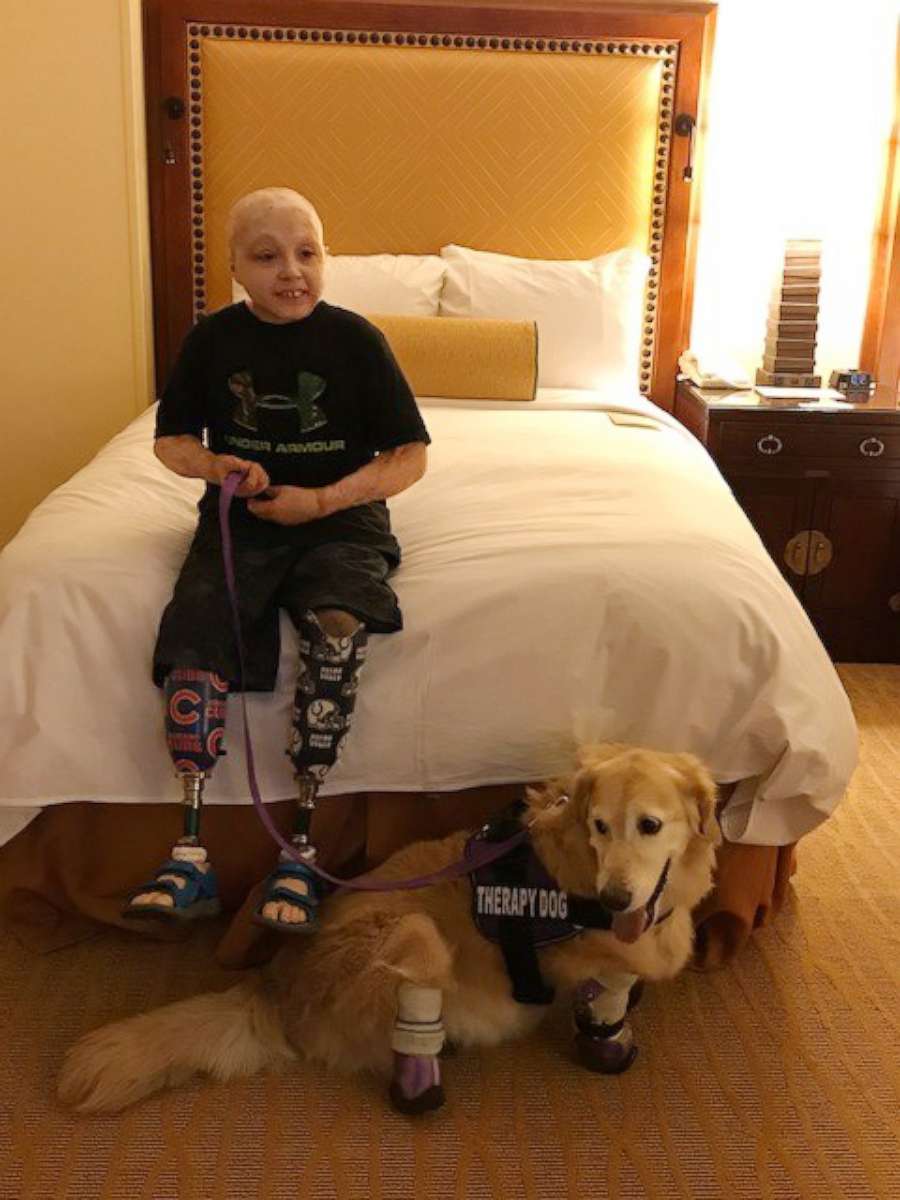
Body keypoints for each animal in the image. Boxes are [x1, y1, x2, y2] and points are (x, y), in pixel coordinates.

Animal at [58, 739, 720, 1113]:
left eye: (649, 825)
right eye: (601, 826)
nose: (614, 896)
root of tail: (277, 982)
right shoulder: (579, 953)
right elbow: (611, 979)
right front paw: (606, 1034)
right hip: (413, 935)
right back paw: (424, 1083)